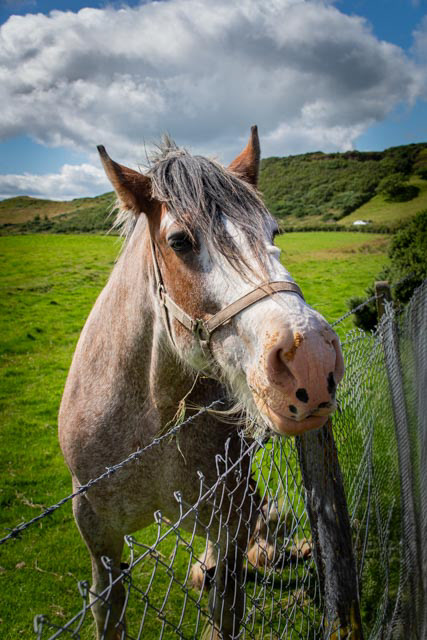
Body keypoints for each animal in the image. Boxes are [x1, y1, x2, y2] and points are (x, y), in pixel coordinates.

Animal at [59, 126, 345, 639]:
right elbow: (107, 611)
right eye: (179, 240)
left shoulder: (229, 518)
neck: (151, 421)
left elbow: (226, 604)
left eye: (273, 232)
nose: (313, 362)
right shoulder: (100, 541)